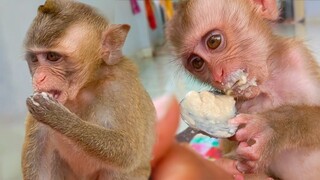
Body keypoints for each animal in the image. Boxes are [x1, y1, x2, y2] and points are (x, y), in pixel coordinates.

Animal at [21, 0, 156, 179]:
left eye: (52, 56)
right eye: (34, 59)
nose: (38, 78)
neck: (84, 88)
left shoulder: (120, 87)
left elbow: (129, 151)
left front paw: (61, 119)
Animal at [166, 0, 320, 179]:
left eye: (213, 41)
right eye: (197, 62)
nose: (217, 76)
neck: (266, 87)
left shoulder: (298, 59)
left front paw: (273, 127)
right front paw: (224, 167)